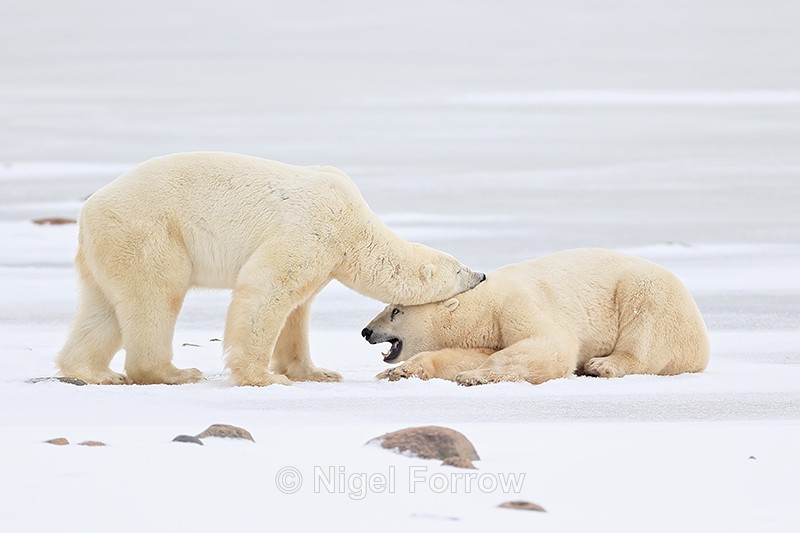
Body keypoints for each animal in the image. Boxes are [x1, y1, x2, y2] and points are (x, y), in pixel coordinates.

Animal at [56, 152, 485, 386]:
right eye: (459, 269)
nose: (482, 275)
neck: (353, 224)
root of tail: (88, 210)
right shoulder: (312, 230)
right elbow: (267, 290)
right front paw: (262, 377)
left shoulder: (324, 256)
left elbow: (298, 309)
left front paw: (316, 372)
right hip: (150, 233)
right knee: (156, 296)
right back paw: (172, 372)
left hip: (106, 248)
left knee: (102, 307)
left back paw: (93, 371)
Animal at [362, 248, 709, 386]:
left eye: (395, 310)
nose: (366, 331)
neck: (485, 303)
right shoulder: (487, 331)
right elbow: (466, 354)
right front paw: (400, 372)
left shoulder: (518, 304)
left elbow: (548, 344)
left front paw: (475, 376)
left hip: (650, 294)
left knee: (644, 331)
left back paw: (602, 365)